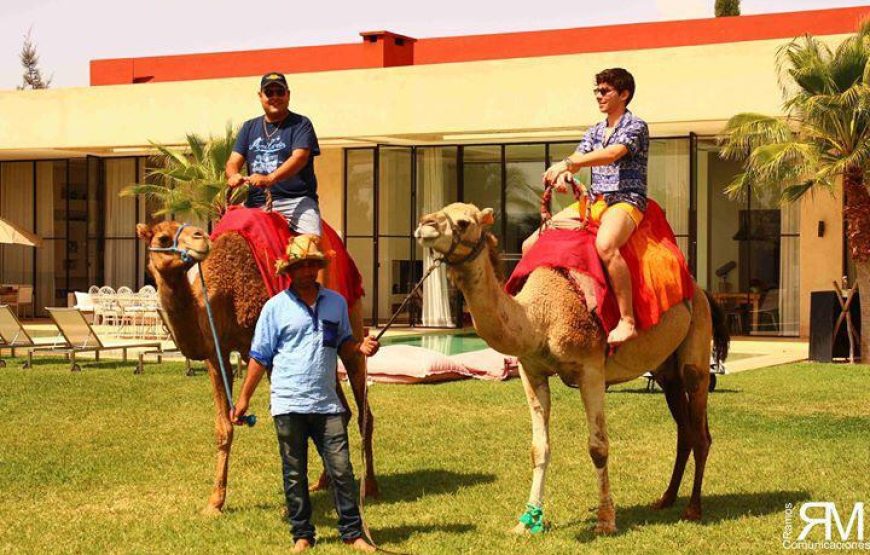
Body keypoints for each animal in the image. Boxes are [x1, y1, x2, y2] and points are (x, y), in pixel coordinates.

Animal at [136, 219, 378, 516]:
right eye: (162, 237)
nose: (200, 237)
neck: (225, 293)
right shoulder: (215, 354)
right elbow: (223, 428)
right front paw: (214, 502)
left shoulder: (270, 349)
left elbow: (285, 427)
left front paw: (289, 505)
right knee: (338, 409)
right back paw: (324, 481)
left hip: (351, 317)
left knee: (362, 405)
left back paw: (370, 487)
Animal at [416, 203, 728, 536]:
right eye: (440, 210)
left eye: (463, 221)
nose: (424, 225)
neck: (540, 317)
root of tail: (702, 292)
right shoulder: (531, 370)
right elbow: (539, 448)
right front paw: (528, 520)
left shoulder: (591, 369)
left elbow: (598, 447)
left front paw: (605, 521)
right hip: (666, 371)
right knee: (684, 430)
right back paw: (665, 499)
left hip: (695, 351)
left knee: (700, 428)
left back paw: (693, 508)